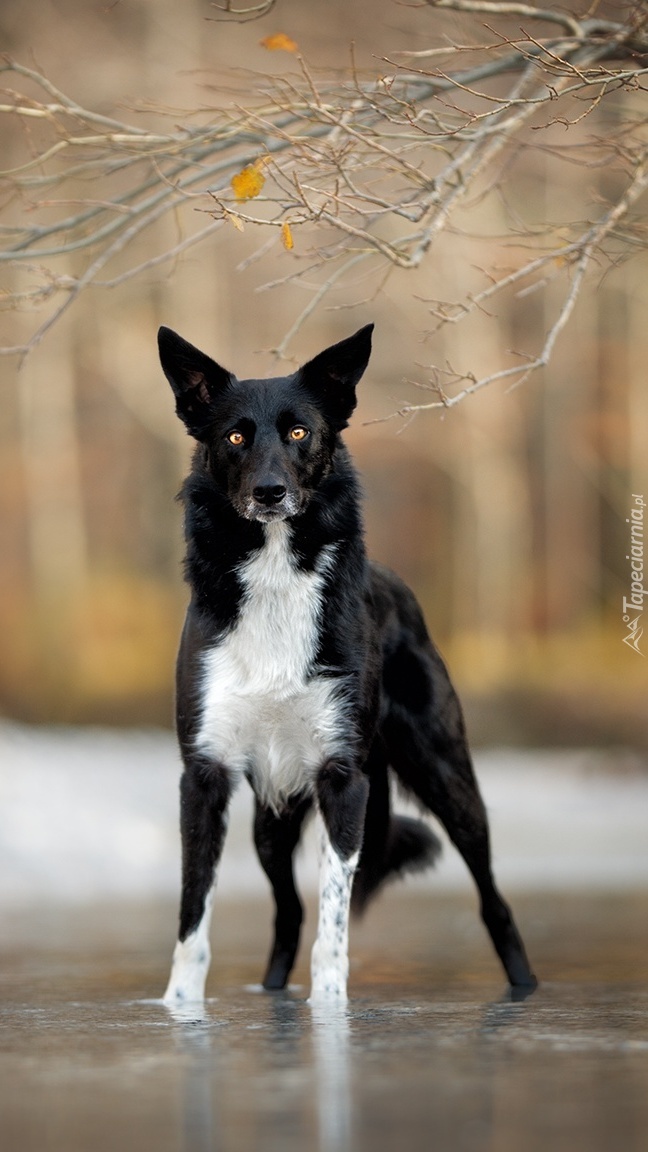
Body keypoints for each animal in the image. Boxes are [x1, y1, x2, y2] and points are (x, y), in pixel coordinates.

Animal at [156, 320, 535, 1004]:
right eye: (234, 437)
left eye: (300, 432)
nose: (270, 492)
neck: (276, 572)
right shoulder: (204, 776)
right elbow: (193, 915)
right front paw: (178, 1007)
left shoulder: (343, 777)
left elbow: (335, 914)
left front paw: (331, 1007)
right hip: (272, 819)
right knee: (287, 912)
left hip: (449, 778)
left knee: (493, 900)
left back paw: (522, 986)